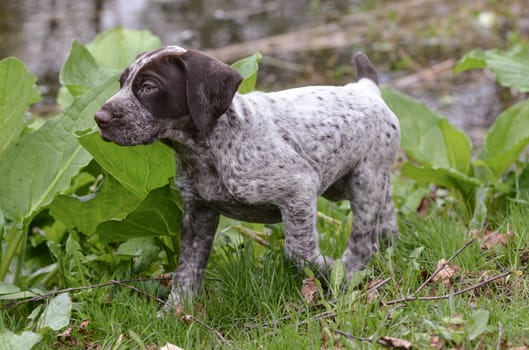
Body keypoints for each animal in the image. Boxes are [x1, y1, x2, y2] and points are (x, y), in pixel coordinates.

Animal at [96, 45, 400, 304]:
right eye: (121, 83)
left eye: (148, 87)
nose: (99, 118)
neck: (210, 148)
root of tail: (365, 88)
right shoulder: (198, 212)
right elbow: (187, 269)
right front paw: (175, 312)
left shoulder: (299, 189)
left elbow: (298, 251)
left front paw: (326, 267)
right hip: (365, 181)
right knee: (385, 220)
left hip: (365, 179)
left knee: (362, 240)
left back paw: (347, 272)